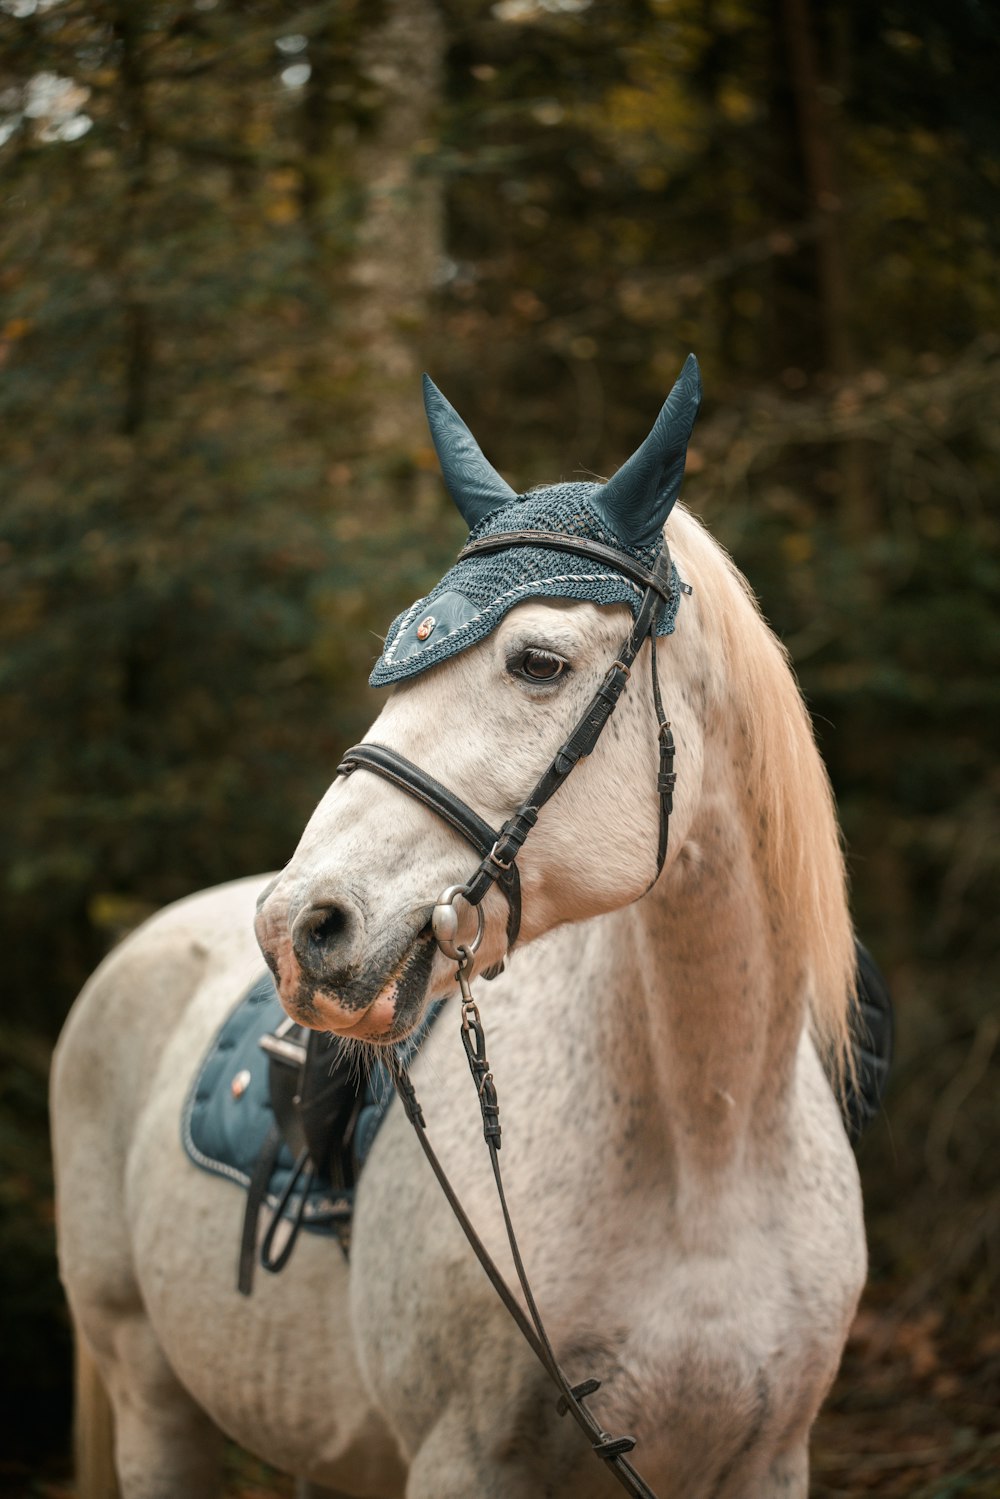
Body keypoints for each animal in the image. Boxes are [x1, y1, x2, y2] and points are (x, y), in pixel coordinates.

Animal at [52, 365, 869, 1499]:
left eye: (537, 660)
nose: (298, 926)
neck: (712, 1151)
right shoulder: (465, 1460)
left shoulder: (769, 1463)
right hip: (148, 1391)